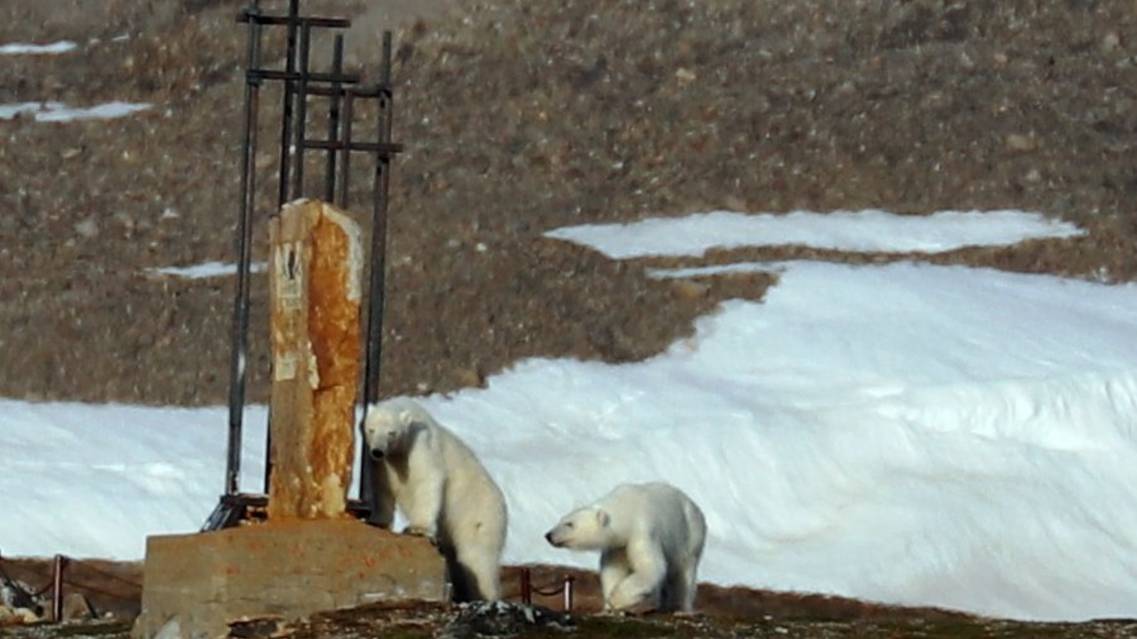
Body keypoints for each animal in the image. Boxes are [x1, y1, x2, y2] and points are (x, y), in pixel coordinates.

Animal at [363, 395, 507, 600]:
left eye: (392, 433)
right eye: (371, 429)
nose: (377, 451)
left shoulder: (419, 446)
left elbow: (429, 478)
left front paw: (417, 528)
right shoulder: (383, 463)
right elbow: (382, 487)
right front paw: (376, 520)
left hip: (478, 516)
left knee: (476, 559)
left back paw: (485, 596)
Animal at [545, 479, 704, 609]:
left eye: (569, 524)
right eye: (562, 519)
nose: (549, 535)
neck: (626, 508)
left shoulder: (643, 530)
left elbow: (651, 568)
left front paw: (616, 599)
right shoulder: (618, 544)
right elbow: (612, 569)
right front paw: (608, 604)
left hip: (691, 537)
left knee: (685, 575)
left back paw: (680, 607)